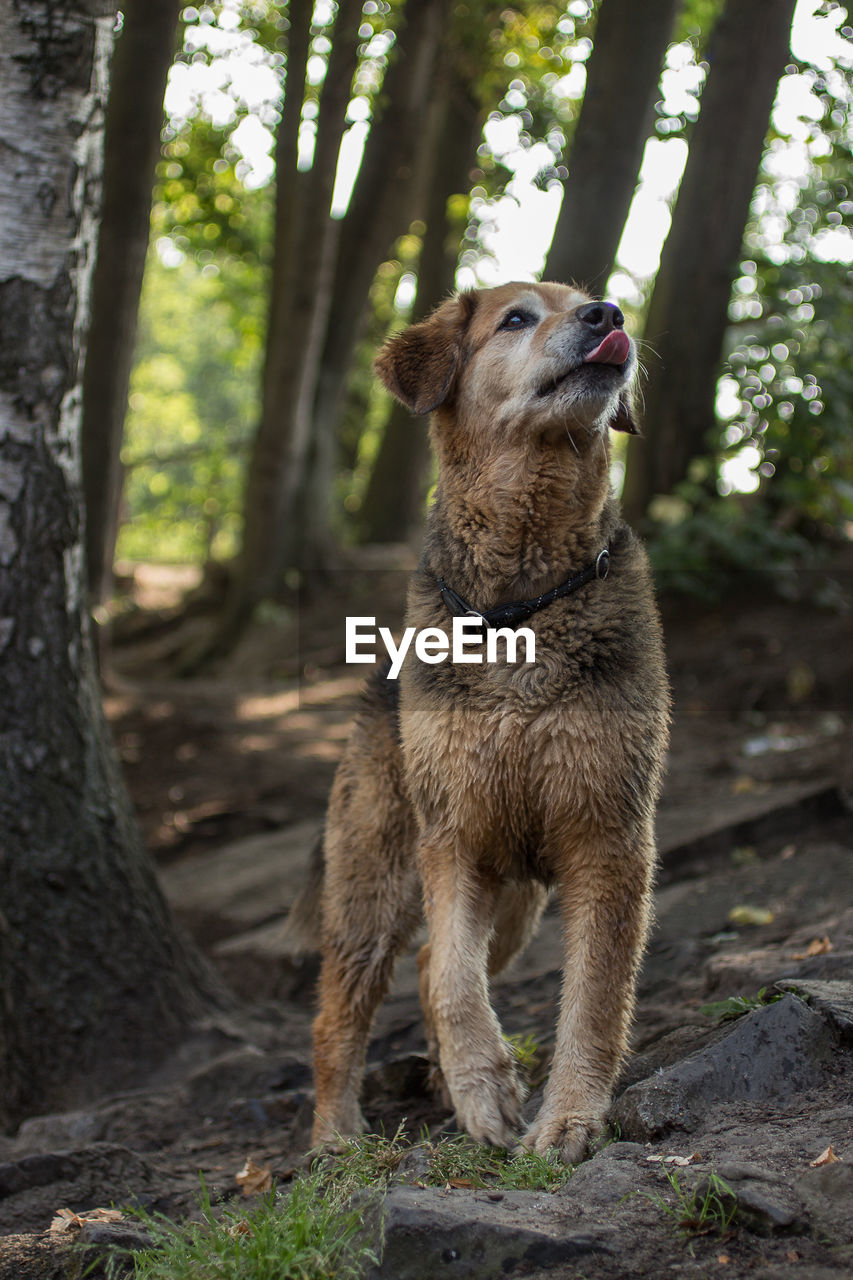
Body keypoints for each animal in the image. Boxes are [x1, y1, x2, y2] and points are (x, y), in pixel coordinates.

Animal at [302, 285, 666, 1167]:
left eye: (591, 300)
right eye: (516, 318)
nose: (609, 314)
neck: (519, 603)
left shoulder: (607, 836)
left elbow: (594, 997)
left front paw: (566, 1117)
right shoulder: (452, 837)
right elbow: (455, 984)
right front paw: (486, 1092)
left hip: (517, 903)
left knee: (434, 956)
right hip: (372, 886)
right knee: (348, 1009)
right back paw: (334, 1138)